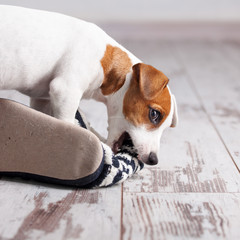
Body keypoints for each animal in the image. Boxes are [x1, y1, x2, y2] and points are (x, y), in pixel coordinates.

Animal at [0, 5, 178, 165]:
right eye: (154, 114)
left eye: (166, 127)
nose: (153, 160)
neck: (107, 64)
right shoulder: (65, 91)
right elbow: (67, 124)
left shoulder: (42, 100)